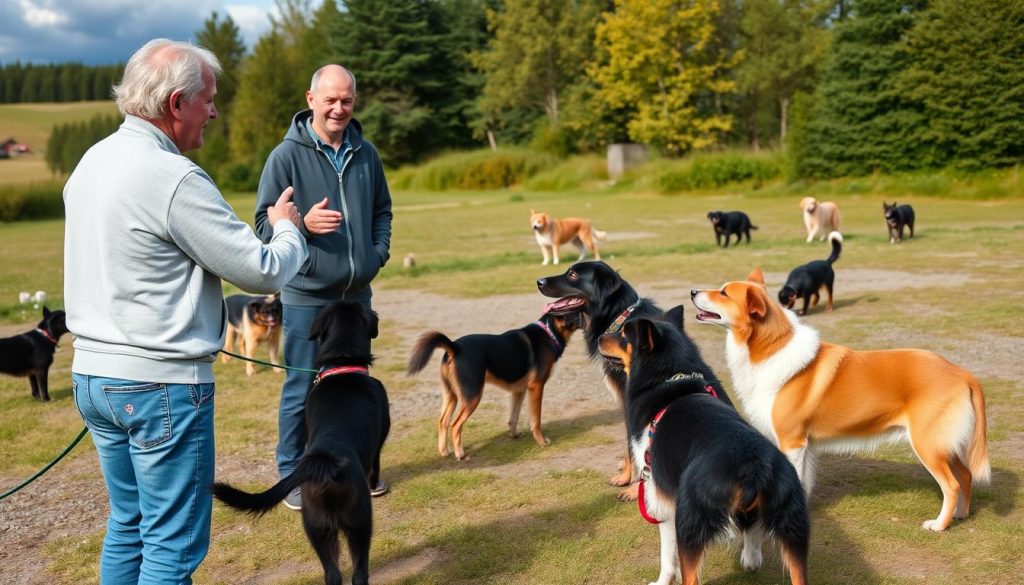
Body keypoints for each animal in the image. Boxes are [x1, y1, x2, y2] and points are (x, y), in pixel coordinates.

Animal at [214, 301, 389, 585]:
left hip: (315, 528)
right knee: (359, 573)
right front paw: (376, 485)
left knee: (332, 574)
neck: (343, 367)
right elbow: (376, 464)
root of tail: (324, 462)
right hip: (360, 522)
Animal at [407, 311, 585, 463]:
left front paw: (513, 435)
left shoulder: (518, 390)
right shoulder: (536, 387)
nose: (586, 317)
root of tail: (454, 347)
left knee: (442, 421)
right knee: (455, 424)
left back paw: (444, 451)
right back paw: (460, 454)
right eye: (574, 312)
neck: (549, 332)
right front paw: (541, 442)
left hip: (452, 395)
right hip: (472, 397)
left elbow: (513, 417)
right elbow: (536, 421)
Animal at [536, 262, 729, 502]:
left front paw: (632, 487)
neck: (617, 317)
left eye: (572, 274)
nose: (539, 281)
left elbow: (634, 445)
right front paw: (628, 477)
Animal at [598, 315, 806, 585]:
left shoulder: (662, 500)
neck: (671, 376)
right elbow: (751, 532)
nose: (599, 337)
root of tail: (752, 468)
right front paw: (751, 560)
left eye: (623, 335)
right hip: (793, 525)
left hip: (689, 523)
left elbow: (667, 557)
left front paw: (662, 581)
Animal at [692, 268, 987, 532]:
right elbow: (804, 483)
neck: (769, 349)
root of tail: (962, 373)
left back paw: (939, 525)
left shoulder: (792, 443)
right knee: (966, 475)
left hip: (928, 444)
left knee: (952, 484)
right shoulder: (806, 446)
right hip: (944, 445)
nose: (693, 291)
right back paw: (960, 515)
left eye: (724, 292)